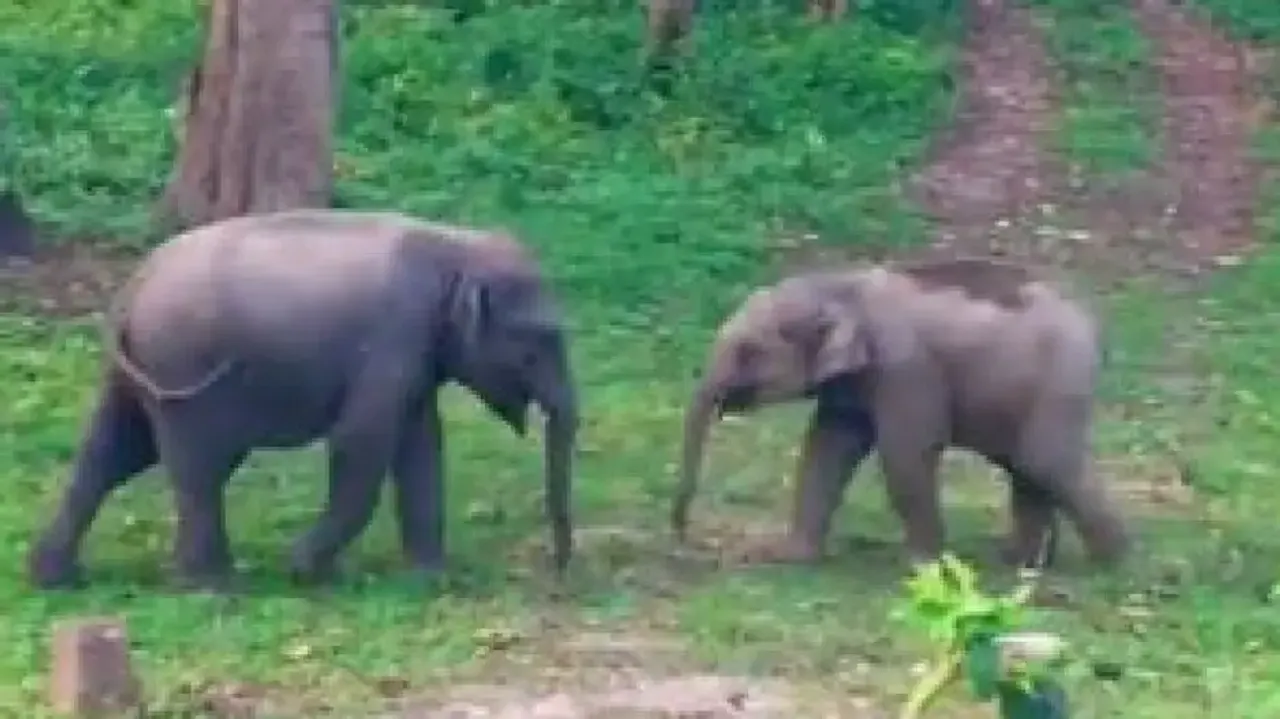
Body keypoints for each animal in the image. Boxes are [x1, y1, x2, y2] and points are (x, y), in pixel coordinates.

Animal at [27, 208, 578, 591]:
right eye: (540, 341)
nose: (560, 570)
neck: (455, 245)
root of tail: (131, 287)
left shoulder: (416, 360)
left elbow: (422, 446)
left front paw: (431, 579)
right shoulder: (394, 340)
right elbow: (361, 441)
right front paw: (307, 572)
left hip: (138, 372)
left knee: (111, 454)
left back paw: (56, 576)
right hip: (181, 364)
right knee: (196, 469)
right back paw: (214, 585)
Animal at [671, 257, 1130, 570]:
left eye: (750, 350)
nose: (682, 536)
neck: (843, 285)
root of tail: (1094, 326)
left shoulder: (905, 368)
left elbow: (905, 454)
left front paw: (923, 566)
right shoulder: (850, 383)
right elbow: (826, 448)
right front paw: (789, 556)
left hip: (1061, 382)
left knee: (1044, 461)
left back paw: (1112, 563)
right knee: (1026, 468)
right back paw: (1022, 563)